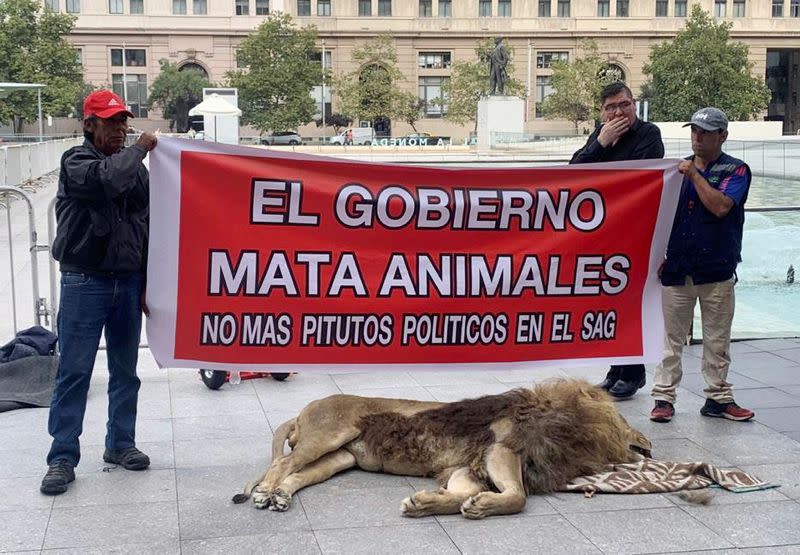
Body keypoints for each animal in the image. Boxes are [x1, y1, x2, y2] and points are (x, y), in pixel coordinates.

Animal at [231, 380, 648, 520]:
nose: (647, 449)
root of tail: (306, 408)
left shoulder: (470, 467)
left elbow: (463, 494)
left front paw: (427, 504)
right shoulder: (500, 447)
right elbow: (518, 496)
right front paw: (482, 506)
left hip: (339, 458)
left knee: (296, 475)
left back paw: (281, 497)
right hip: (328, 435)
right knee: (282, 464)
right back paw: (265, 493)